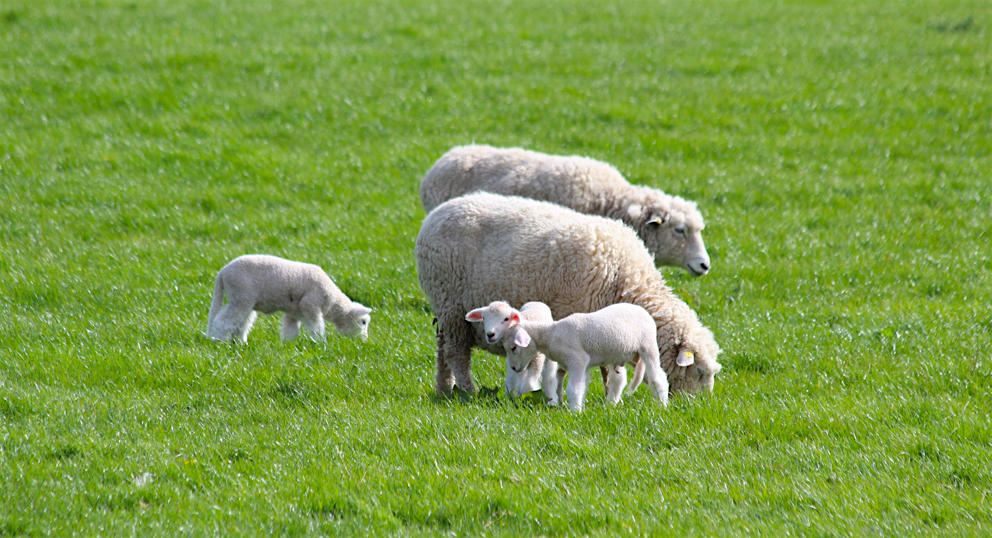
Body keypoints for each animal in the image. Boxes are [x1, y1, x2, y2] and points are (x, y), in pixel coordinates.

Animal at [205, 253, 372, 342]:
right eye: (363, 322)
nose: (364, 341)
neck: (333, 303)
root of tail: (222, 272)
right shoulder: (310, 305)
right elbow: (316, 325)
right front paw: (320, 342)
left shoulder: (294, 312)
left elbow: (290, 329)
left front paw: (288, 344)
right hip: (240, 297)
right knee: (223, 321)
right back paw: (219, 340)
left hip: (244, 301)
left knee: (242, 323)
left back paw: (240, 343)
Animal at [412, 191, 720, 396]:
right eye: (699, 371)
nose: (695, 407)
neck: (627, 281)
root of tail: (435, 215)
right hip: (451, 305)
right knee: (457, 354)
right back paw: (467, 390)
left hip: (446, 312)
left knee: (443, 352)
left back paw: (445, 388)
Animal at [500, 302, 672, 410]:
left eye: (514, 348)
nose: (514, 368)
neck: (550, 334)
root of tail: (643, 310)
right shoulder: (568, 364)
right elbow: (564, 385)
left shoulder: (578, 360)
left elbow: (573, 388)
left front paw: (575, 411)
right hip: (620, 354)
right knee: (619, 380)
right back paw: (611, 404)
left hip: (648, 346)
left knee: (657, 377)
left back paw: (662, 405)